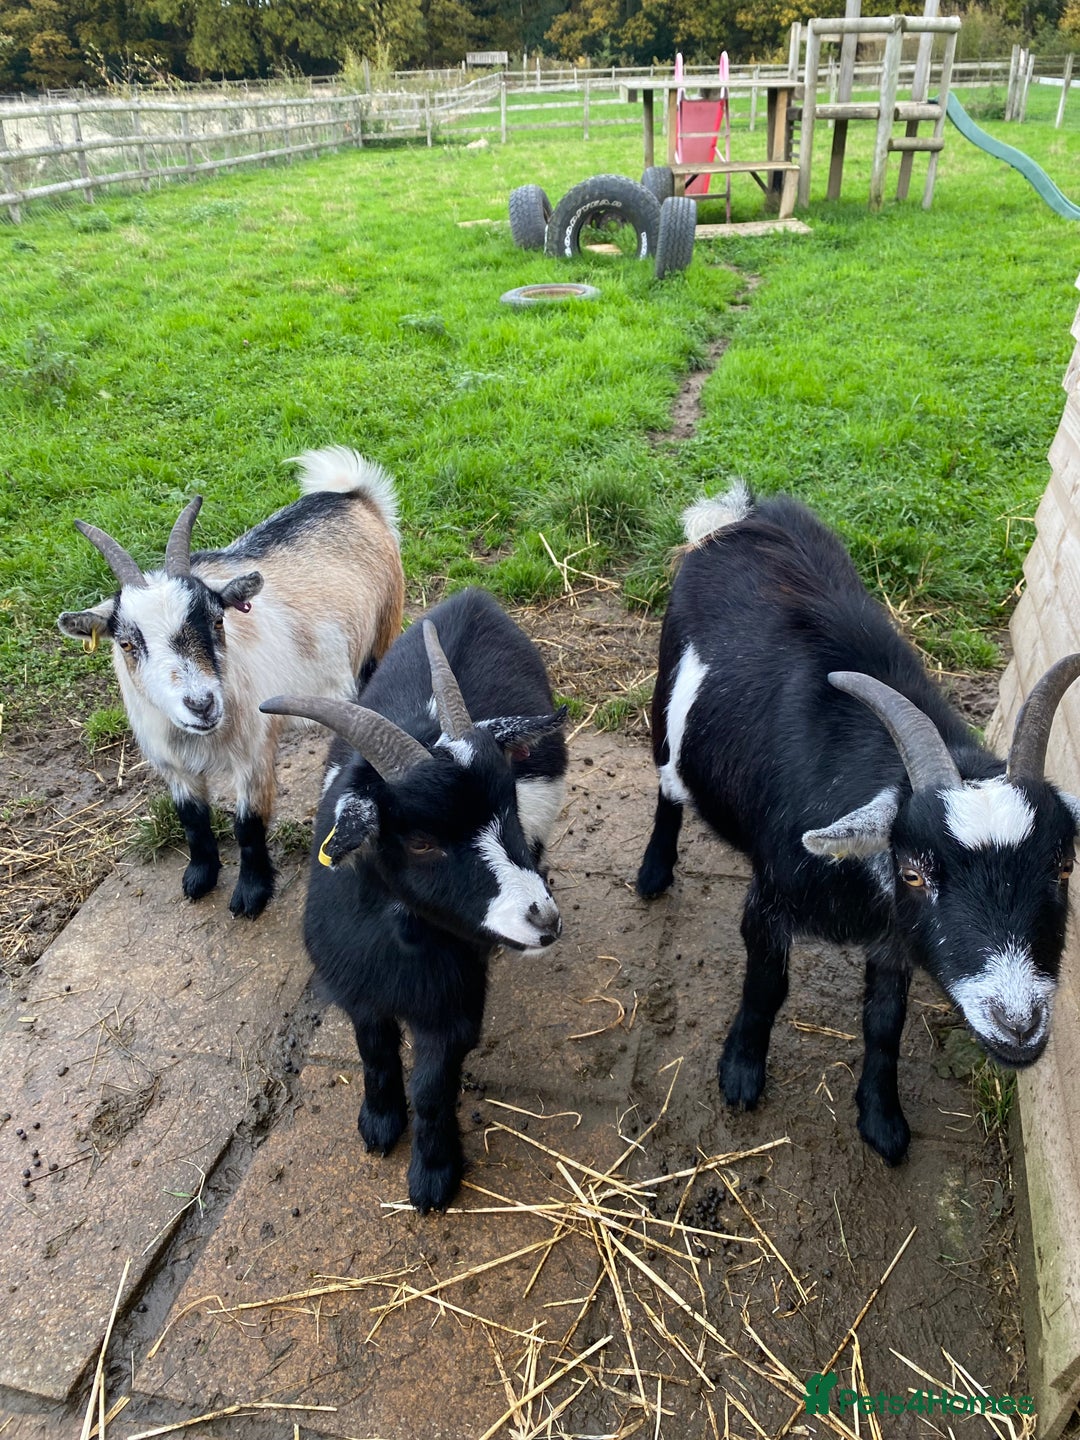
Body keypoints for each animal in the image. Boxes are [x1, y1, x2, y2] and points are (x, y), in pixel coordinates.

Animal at [58, 447, 405, 919]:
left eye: (217, 620)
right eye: (127, 643)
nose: (201, 704)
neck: (203, 739)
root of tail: (353, 495)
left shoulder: (253, 755)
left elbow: (248, 825)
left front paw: (251, 894)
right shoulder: (172, 764)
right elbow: (193, 821)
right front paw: (199, 878)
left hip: (384, 628)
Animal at [260, 587, 568, 1211]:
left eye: (509, 806)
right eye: (422, 840)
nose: (544, 920)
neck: (401, 942)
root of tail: (473, 598)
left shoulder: (451, 1007)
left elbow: (432, 1087)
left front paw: (432, 1176)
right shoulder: (356, 989)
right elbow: (375, 1053)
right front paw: (378, 1126)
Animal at [637, 484, 1080, 1164]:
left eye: (1062, 866)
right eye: (915, 872)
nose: (1019, 1026)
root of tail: (744, 512)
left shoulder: (893, 939)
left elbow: (884, 1021)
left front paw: (882, 1118)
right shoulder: (769, 899)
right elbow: (766, 988)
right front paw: (740, 1072)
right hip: (668, 690)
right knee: (667, 781)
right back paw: (654, 871)